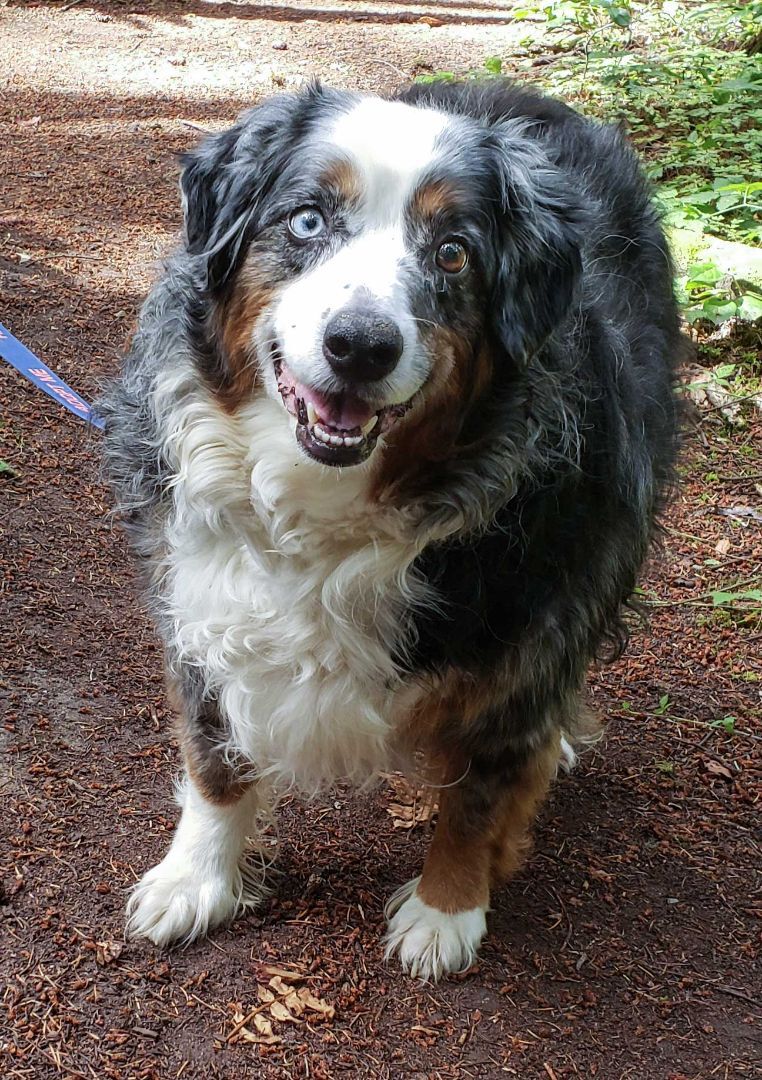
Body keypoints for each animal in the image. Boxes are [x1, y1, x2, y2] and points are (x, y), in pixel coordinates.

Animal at [99, 82, 677, 980]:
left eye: (454, 254)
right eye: (307, 220)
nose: (361, 346)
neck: (323, 509)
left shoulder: (527, 637)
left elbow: (479, 794)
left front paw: (448, 911)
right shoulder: (197, 607)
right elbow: (215, 759)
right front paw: (197, 877)